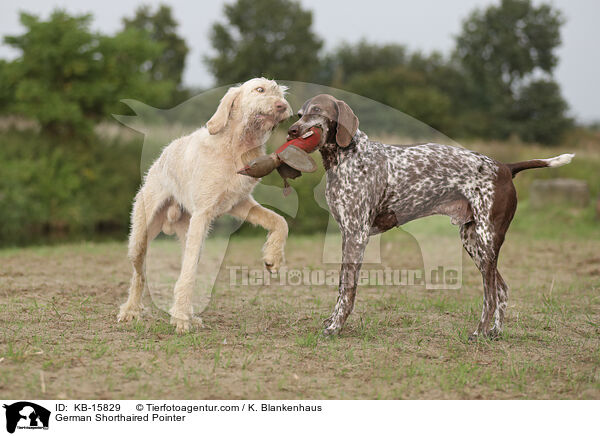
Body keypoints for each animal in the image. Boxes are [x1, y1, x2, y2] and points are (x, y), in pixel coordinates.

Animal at [118, 78, 292, 332]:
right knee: (138, 274)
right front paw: (180, 317)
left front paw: (273, 257)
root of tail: (160, 158)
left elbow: (280, 221)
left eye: (279, 93)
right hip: (140, 236)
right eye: (259, 90)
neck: (236, 143)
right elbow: (188, 271)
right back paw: (131, 310)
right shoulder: (202, 214)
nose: (283, 106)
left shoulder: (239, 204)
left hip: (186, 230)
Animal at [288, 94, 576, 340]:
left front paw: (336, 326)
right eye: (300, 114)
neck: (347, 156)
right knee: (501, 288)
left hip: (486, 240)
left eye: (317, 111)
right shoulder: (347, 234)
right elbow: (341, 287)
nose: (291, 130)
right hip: (473, 241)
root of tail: (505, 167)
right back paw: (494, 333)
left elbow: (347, 289)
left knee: (490, 296)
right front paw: (332, 321)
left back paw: (479, 333)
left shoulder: (356, 235)